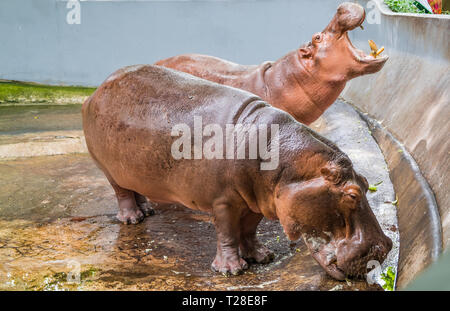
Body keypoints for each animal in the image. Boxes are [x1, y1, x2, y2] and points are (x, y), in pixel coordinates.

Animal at [82, 65, 392, 280]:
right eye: (351, 195)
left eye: (367, 183)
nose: (385, 247)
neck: (285, 162)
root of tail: (97, 90)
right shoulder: (223, 202)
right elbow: (228, 233)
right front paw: (231, 270)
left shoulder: (258, 201)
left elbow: (249, 229)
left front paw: (262, 256)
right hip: (107, 168)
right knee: (121, 193)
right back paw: (132, 219)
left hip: (132, 170)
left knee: (134, 189)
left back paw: (147, 211)